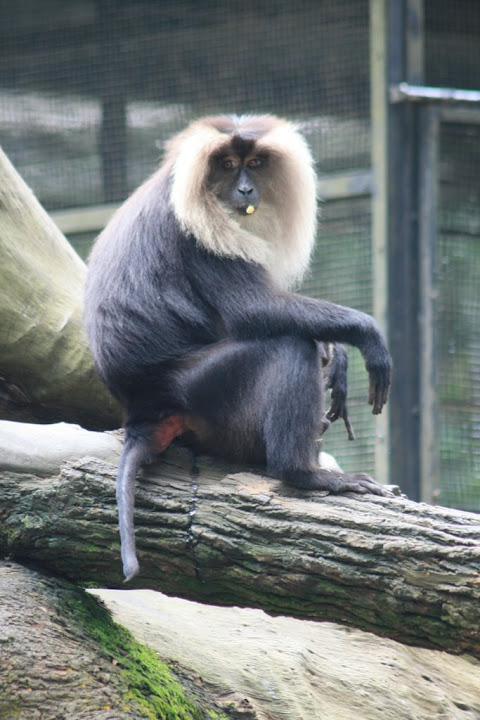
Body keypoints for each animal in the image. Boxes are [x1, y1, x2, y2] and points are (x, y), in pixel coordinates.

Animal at [84, 114, 392, 581]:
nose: (246, 190)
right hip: (201, 389)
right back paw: (304, 474)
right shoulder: (197, 231)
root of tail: (141, 413)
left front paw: (337, 357)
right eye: (227, 165)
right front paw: (366, 336)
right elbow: (254, 311)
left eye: (256, 164)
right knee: (288, 344)